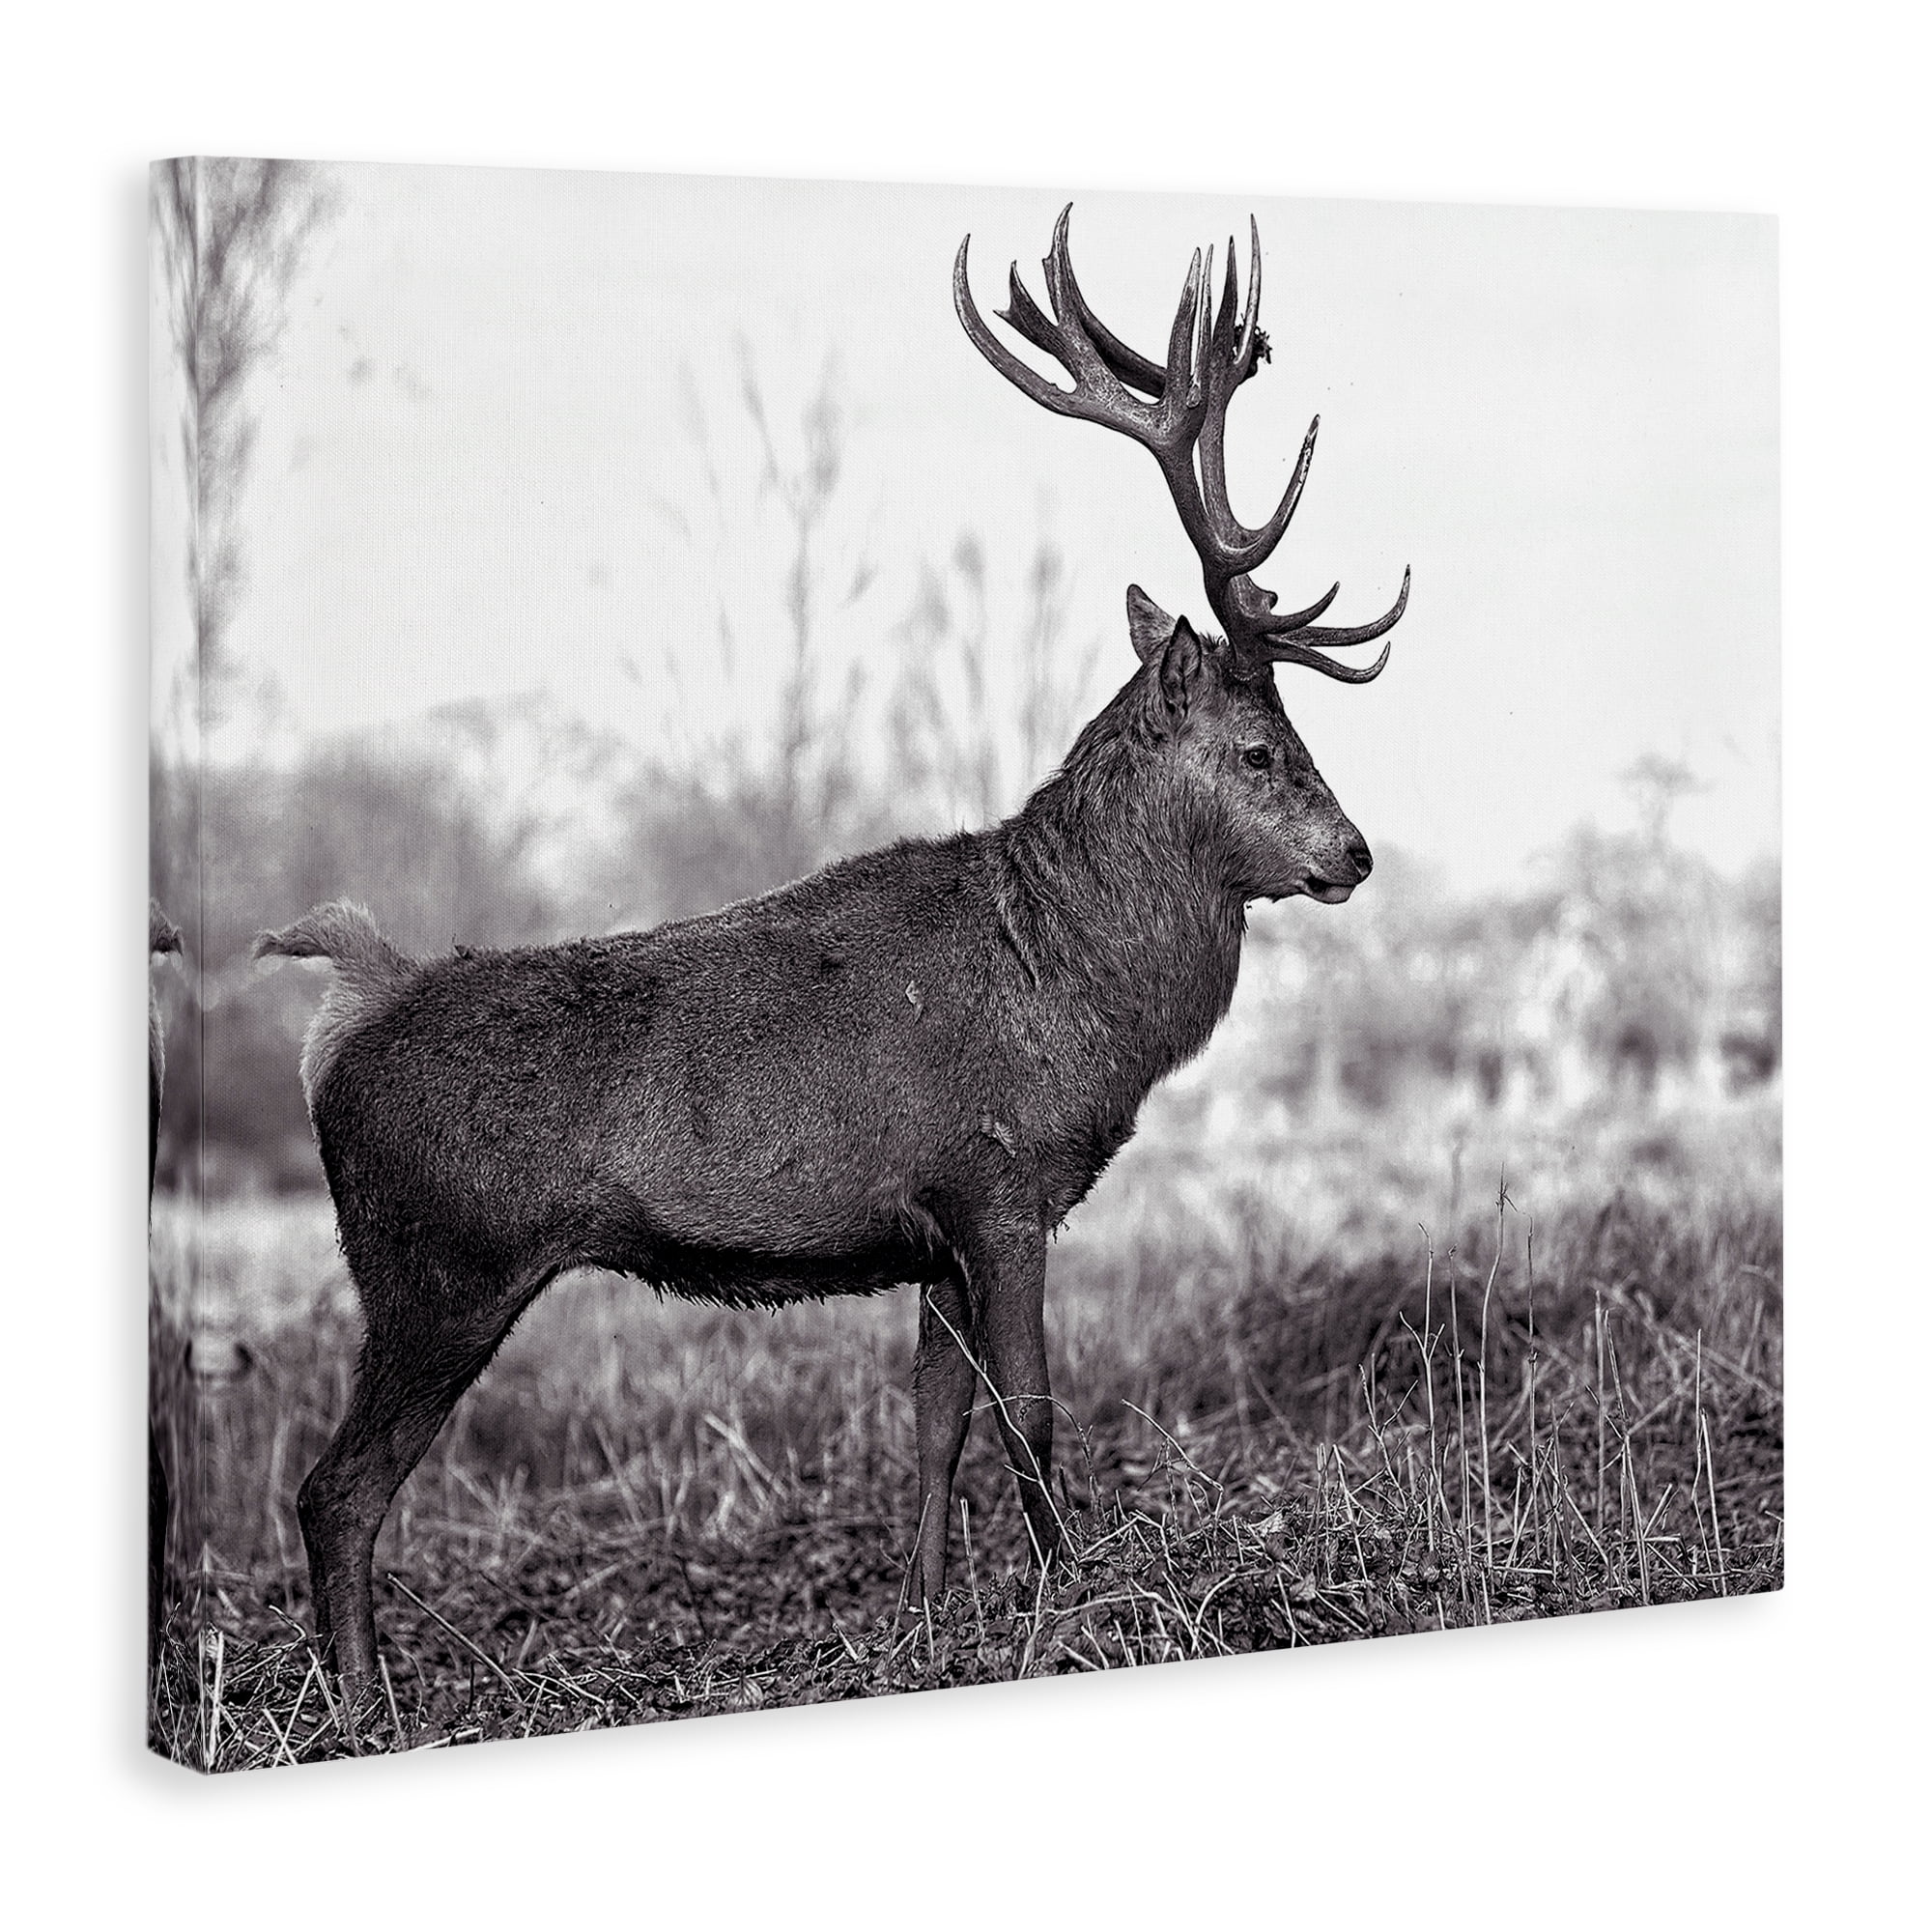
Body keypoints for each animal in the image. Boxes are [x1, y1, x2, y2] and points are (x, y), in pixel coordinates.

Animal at [254, 207, 1408, 1712]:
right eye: (1264, 749)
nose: (1354, 855)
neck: (1074, 992)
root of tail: (342, 1018)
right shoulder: (998, 1183)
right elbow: (1031, 1413)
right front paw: (1079, 1599)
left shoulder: (931, 1230)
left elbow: (932, 1423)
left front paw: (920, 1622)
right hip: (435, 1264)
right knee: (333, 1489)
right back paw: (367, 1705)